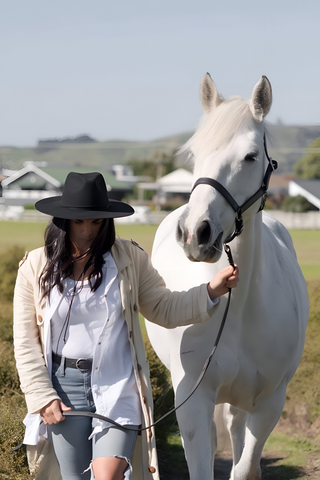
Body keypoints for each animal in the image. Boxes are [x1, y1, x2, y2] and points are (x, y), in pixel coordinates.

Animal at [146, 75, 308, 480]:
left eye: (250, 156)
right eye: (194, 154)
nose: (195, 233)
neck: (239, 310)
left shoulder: (269, 405)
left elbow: (244, 467)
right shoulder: (192, 399)